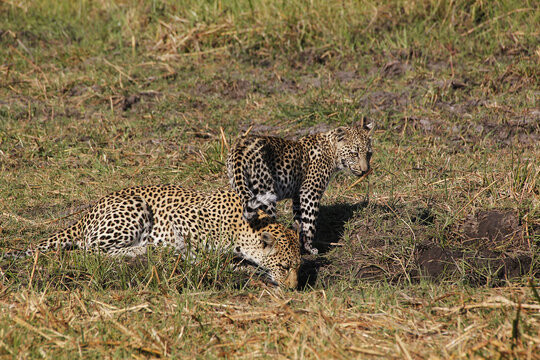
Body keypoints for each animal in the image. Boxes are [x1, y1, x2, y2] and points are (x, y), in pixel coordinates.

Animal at [8, 186, 302, 290]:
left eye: (298, 267)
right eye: (284, 266)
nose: (293, 288)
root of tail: (87, 212)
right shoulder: (181, 218)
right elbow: (196, 251)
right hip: (135, 208)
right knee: (90, 250)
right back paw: (143, 251)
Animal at [226, 119, 374, 255]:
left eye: (369, 154)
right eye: (354, 154)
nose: (365, 170)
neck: (331, 152)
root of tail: (240, 149)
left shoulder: (298, 195)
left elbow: (300, 219)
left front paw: (300, 243)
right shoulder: (310, 193)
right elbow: (310, 222)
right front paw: (310, 248)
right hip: (265, 195)